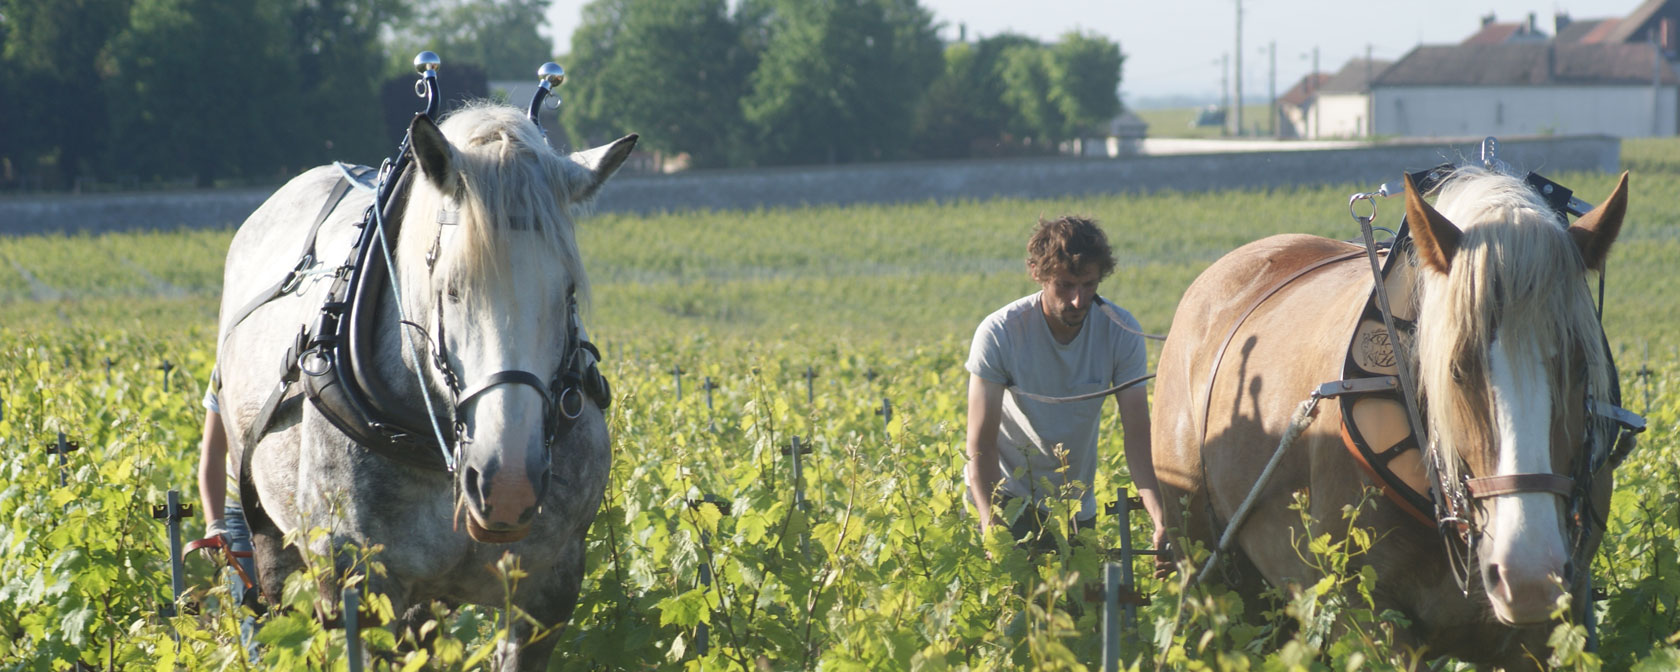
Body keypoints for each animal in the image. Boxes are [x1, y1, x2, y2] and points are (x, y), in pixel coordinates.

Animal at [218, 102, 635, 668]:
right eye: (451, 289)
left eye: (567, 291)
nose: (508, 484)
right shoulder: (357, 581)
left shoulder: (550, 589)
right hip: (268, 535)